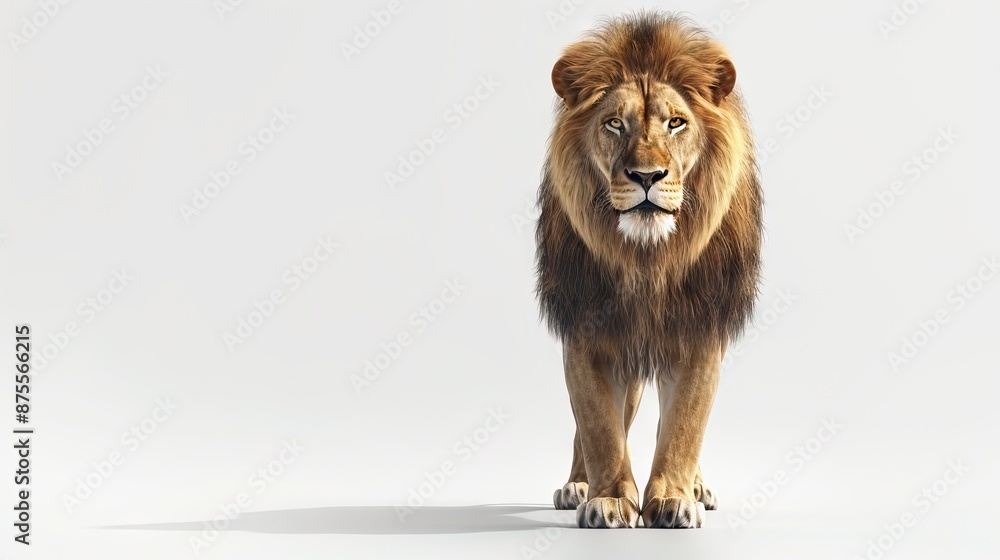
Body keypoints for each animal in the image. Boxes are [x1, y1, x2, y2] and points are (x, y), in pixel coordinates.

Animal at [535, 13, 762, 529]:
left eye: (676, 123)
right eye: (614, 123)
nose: (646, 176)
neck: (647, 260)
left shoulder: (701, 332)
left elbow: (684, 426)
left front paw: (674, 498)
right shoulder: (587, 330)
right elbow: (599, 426)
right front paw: (609, 499)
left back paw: (696, 485)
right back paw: (577, 484)